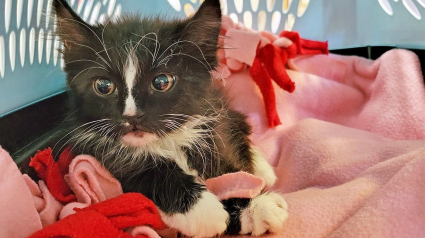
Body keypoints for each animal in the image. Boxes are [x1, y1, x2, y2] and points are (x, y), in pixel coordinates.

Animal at [51, 0, 286, 236]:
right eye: (103, 86)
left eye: (162, 82)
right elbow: (141, 170)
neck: (165, 141)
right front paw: (205, 210)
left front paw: (255, 205)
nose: (132, 116)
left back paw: (263, 168)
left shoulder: (212, 126)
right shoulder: (96, 155)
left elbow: (230, 168)